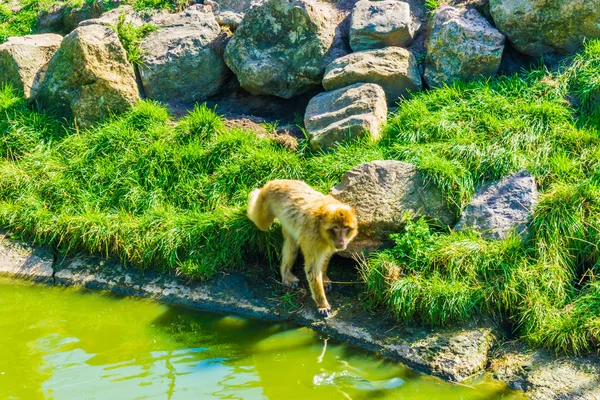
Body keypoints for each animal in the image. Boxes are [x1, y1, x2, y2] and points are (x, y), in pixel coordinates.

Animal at [247, 180, 358, 316]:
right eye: (336, 228)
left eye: (346, 228)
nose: (341, 241)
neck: (321, 226)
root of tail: (276, 181)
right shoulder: (312, 238)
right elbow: (312, 269)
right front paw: (322, 304)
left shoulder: (330, 244)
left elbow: (325, 257)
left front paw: (324, 278)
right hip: (265, 202)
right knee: (261, 223)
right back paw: (254, 193)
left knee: (291, 245)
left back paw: (285, 272)